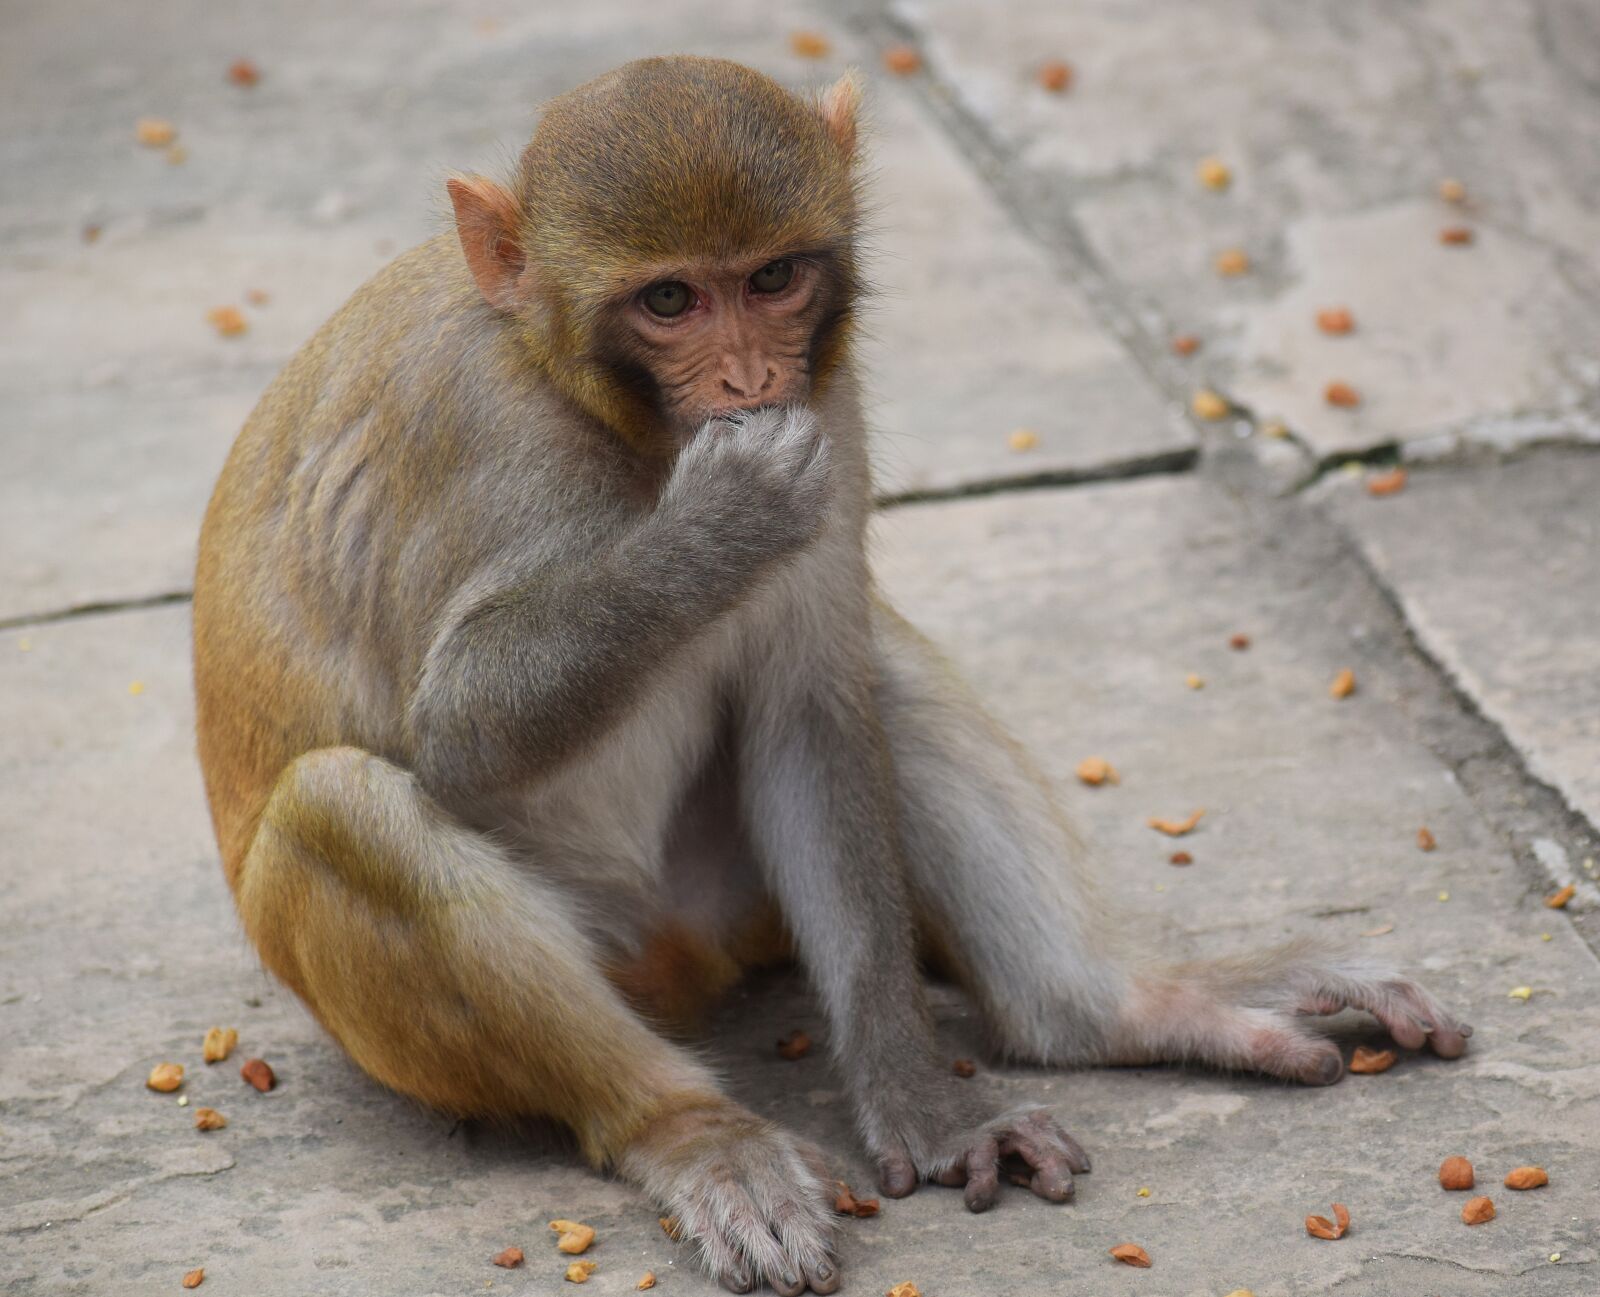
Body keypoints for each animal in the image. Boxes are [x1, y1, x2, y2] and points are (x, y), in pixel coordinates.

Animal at [192, 56, 1470, 1296]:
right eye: (669, 300)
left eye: (770, 279)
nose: (751, 377)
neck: (596, 404)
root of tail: (681, 960)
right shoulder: (483, 435)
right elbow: (459, 736)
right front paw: (720, 521)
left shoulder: (832, 406)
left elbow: (810, 708)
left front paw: (924, 1107)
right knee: (339, 808)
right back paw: (688, 1128)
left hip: (727, 893)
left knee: (875, 667)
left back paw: (1110, 1008)